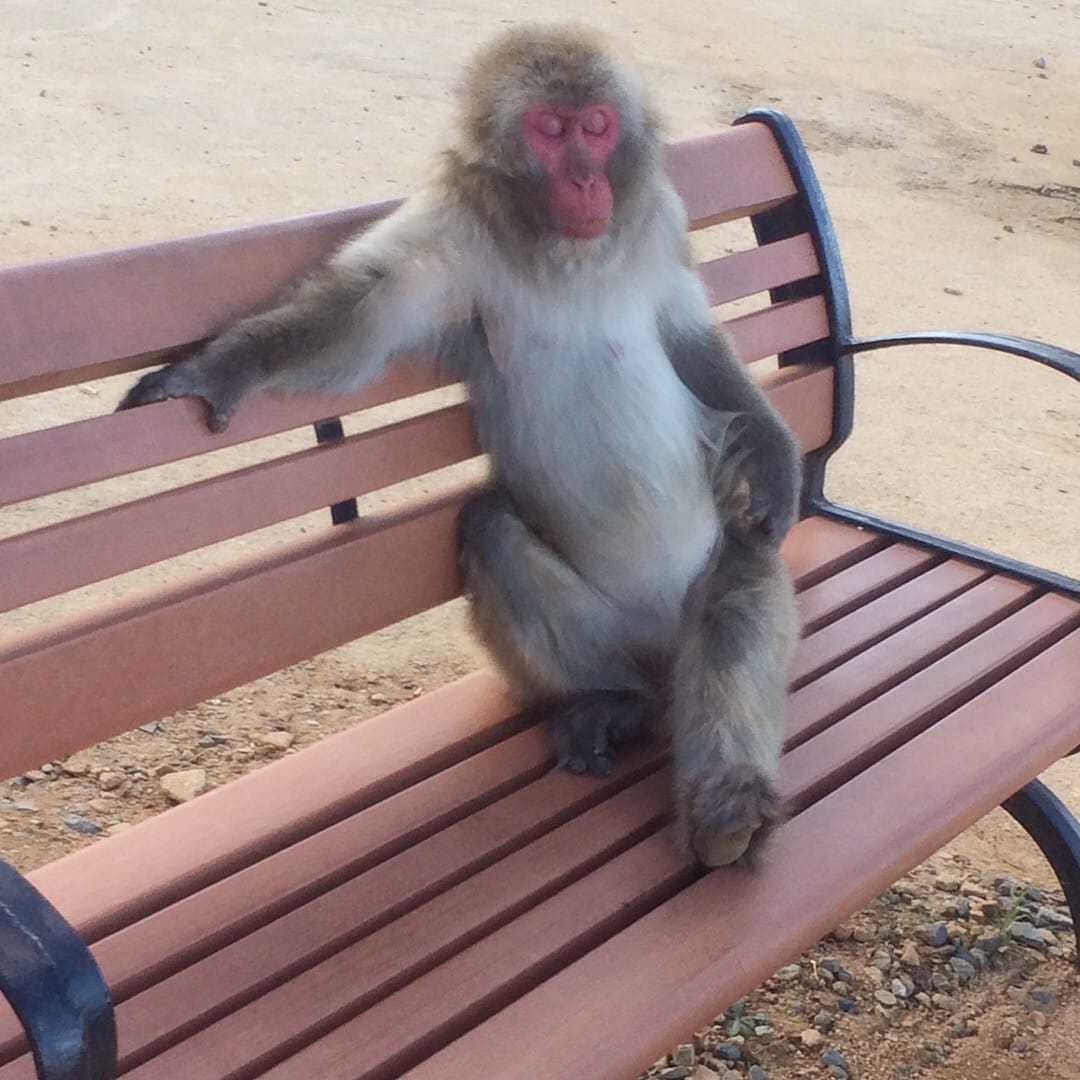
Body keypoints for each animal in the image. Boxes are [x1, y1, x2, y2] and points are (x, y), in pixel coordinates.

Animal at [118, 25, 801, 867]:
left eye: (597, 125)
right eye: (551, 130)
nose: (586, 181)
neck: (567, 254)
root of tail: (656, 645)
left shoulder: (661, 223)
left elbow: (686, 335)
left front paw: (774, 452)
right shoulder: (453, 229)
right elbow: (364, 311)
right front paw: (221, 368)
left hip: (709, 571)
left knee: (740, 586)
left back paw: (726, 805)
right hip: (609, 632)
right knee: (492, 529)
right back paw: (612, 702)